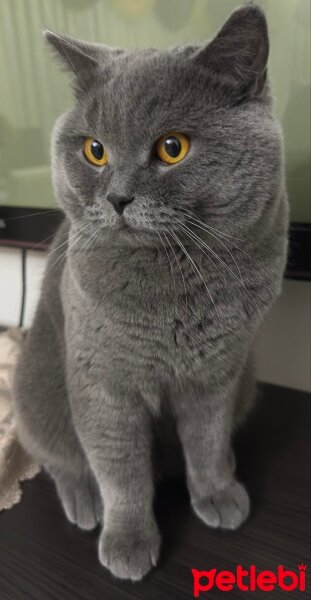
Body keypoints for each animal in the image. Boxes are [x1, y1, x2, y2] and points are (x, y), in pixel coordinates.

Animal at [12, 5, 290, 580]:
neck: (174, 287)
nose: (117, 198)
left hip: (248, 381)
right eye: (95, 151)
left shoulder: (219, 374)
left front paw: (218, 493)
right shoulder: (104, 382)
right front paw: (128, 541)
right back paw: (83, 502)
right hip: (36, 390)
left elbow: (207, 440)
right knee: (58, 458)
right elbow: (119, 469)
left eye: (172, 147)